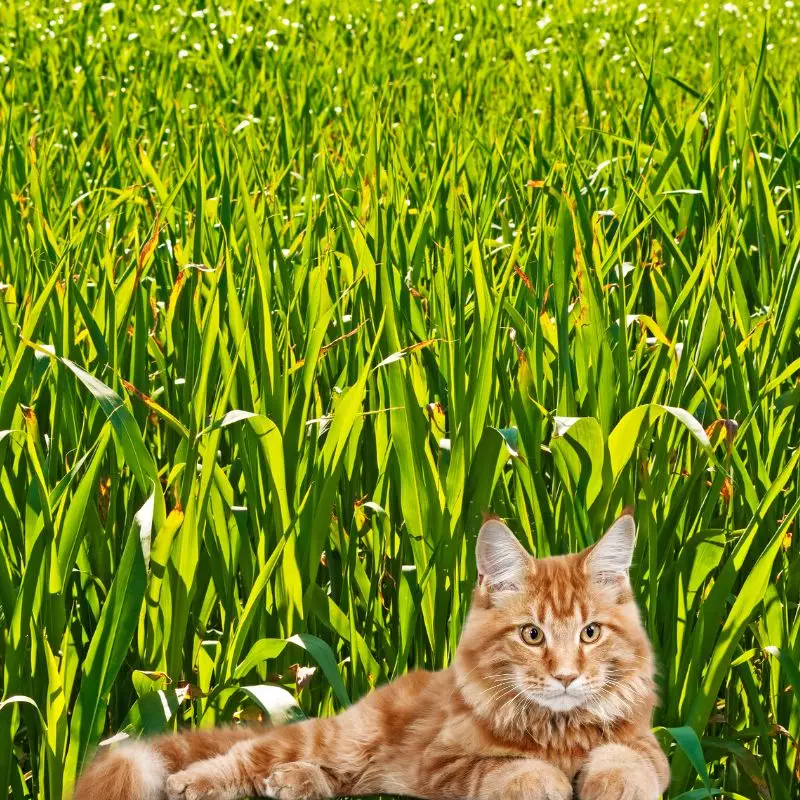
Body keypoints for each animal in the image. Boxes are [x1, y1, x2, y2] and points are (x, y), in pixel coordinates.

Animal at [75, 512, 668, 800]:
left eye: (590, 633)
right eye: (532, 635)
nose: (566, 676)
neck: (556, 731)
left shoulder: (646, 747)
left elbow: (627, 763)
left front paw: (611, 785)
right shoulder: (444, 765)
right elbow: (516, 772)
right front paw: (547, 781)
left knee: (343, 781)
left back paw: (294, 783)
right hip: (340, 737)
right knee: (243, 756)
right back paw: (196, 783)